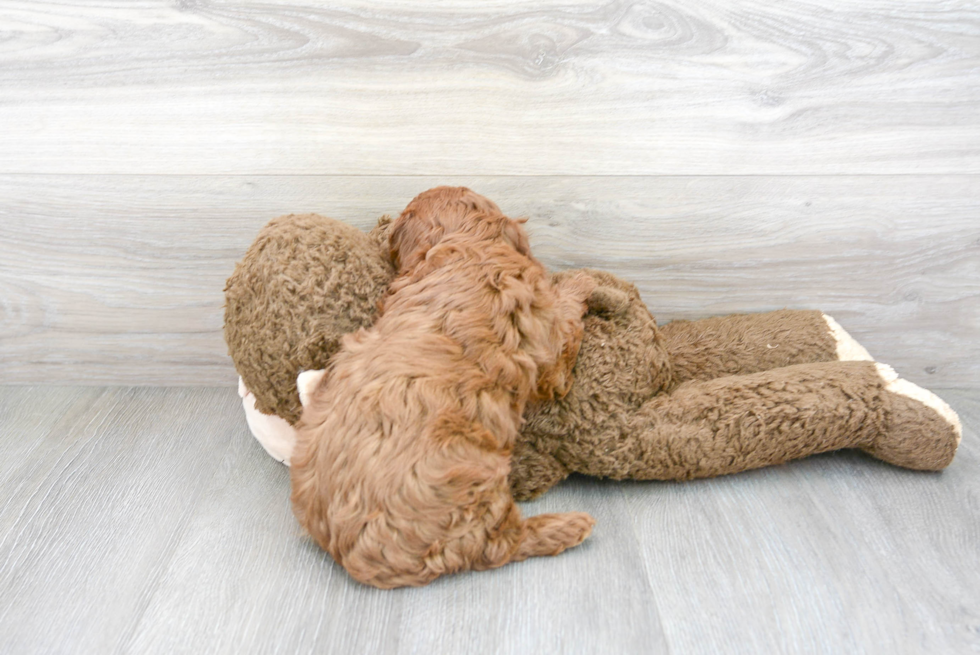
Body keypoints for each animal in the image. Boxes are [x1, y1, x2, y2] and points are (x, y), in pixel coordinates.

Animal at [290, 186, 596, 588]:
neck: (467, 245)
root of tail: (354, 559)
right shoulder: (548, 349)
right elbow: (567, 326)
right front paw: (582, 281)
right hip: (475, 480)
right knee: (502, 544)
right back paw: (569, 526)